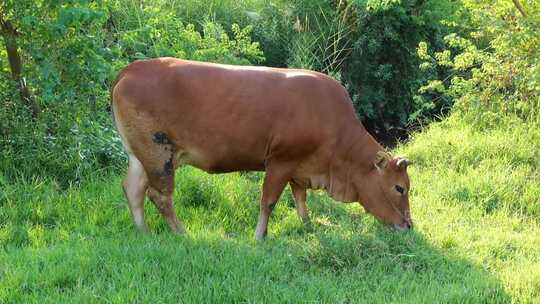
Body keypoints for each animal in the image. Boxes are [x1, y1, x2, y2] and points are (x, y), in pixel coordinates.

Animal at [110, 57, 414, 240]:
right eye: (400, 188)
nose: (409, 225)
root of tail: (132, 68)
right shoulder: (280, 162)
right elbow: (268, 201)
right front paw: (259, 236)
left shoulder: (299, 166)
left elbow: (300, 197)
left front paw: (308, 225)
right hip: (159, 153)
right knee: (160, 196)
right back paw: (181, 233)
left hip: (141, 155)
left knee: (133, 189)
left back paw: (144, 232)